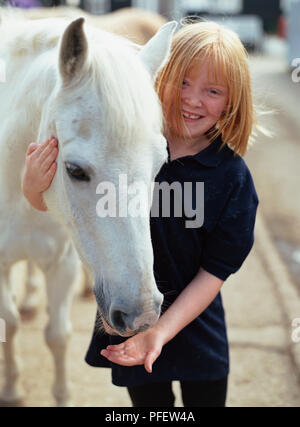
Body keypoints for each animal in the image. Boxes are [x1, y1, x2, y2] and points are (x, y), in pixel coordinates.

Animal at [0, 8, 176, 406]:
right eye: (74, 170)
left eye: (160, 164)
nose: (141, 315)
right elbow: (10, 323)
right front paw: (13, 388)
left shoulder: (62, 263)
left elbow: (57, 335)